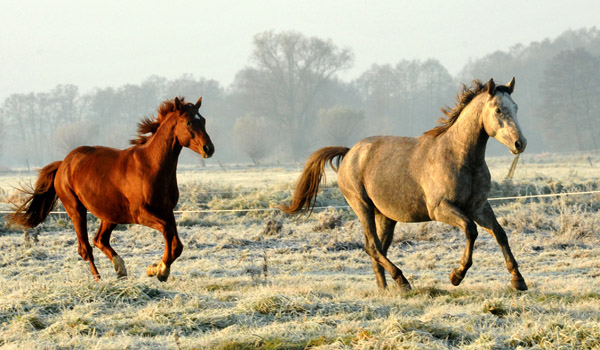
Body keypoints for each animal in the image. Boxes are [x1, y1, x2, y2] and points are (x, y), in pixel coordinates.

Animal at [9, 96, 213, 282]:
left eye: (203, 120)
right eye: (188, 122)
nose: (208, 149)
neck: (152, 165)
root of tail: (63, 164)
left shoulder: (167, 211)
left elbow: (176, 244)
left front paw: (156, 269)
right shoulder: (142, 214)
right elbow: (169, 233)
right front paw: (159, 270)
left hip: (110, 214)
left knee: (99, 239)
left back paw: (120, 268)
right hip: (76, 209)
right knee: (86, 248)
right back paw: (99, 280)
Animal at [284, 78, 528, 290]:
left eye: (516, 107)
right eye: (498, 110)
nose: (520, 143)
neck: (459, 156)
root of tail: (350, 152)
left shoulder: (478, 206)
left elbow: (500, 233)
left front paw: (518, 280)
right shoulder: (440, 208)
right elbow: (471, 230)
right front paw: (456, 275)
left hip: (385, 216)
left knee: (378, 248)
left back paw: (385, 289)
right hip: (362, 207)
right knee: (372, 246)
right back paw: (402, 281)